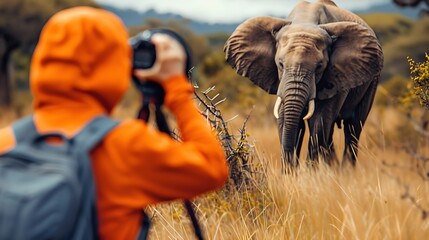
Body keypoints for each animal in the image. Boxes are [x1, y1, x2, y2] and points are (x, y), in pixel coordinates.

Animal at [222, 0, 382, 171]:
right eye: (280, 64)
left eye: (319, 67)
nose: (293, 168)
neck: (306, 20)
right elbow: (286, 118)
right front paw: (291, 174)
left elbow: (319, 121)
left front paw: (311, 172)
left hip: (373, 78)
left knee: (353, 126)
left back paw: (345, 171)